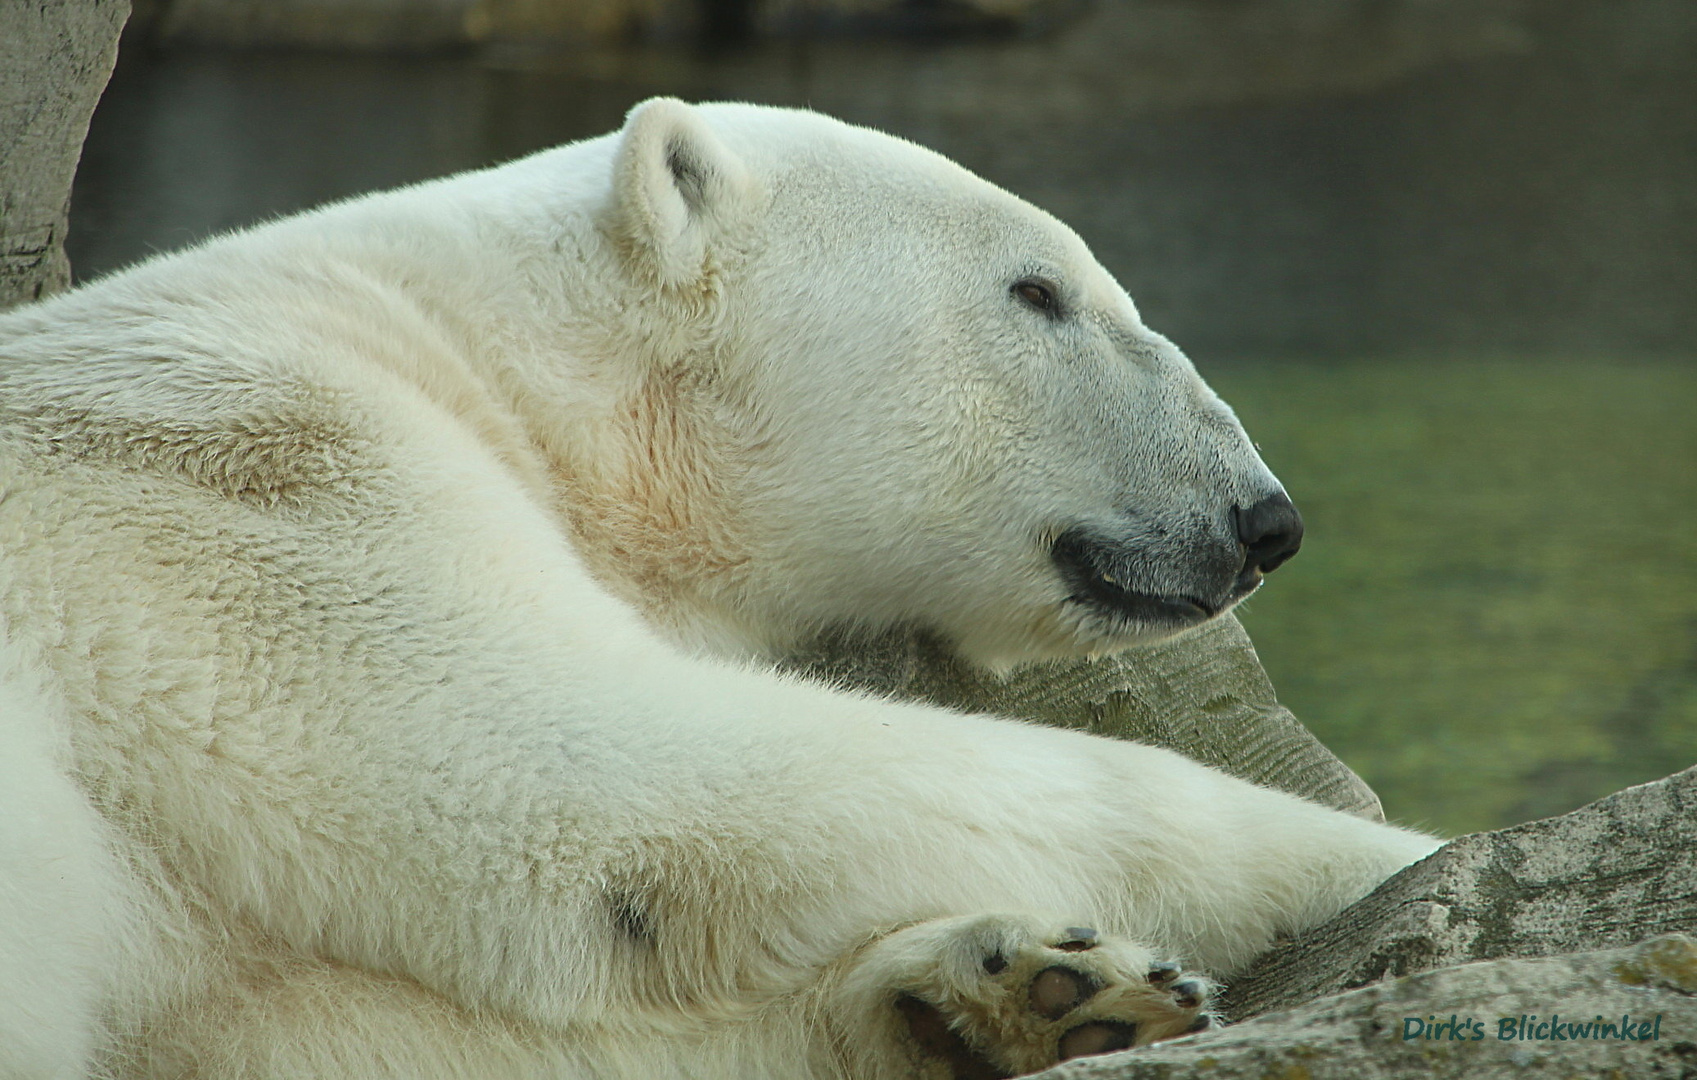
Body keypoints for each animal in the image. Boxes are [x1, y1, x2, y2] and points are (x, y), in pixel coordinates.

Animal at [0, 97, 1432, 1073]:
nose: (1260, 518)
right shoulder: (265, 492)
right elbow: (603, 784)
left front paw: (1018, 987)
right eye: (1038, 291)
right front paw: (1376, 854)